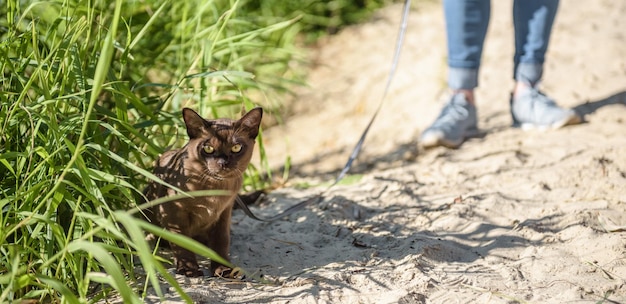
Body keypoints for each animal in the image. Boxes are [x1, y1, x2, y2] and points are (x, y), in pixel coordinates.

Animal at [143, 106, 260, 276]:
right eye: (208, 148)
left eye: (236, 148)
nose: (222, 162)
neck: (215, 188)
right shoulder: (174, 214)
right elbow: (182, 244)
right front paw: (189, 270)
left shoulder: (224, 213)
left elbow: (221, 242)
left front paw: (223, 269)